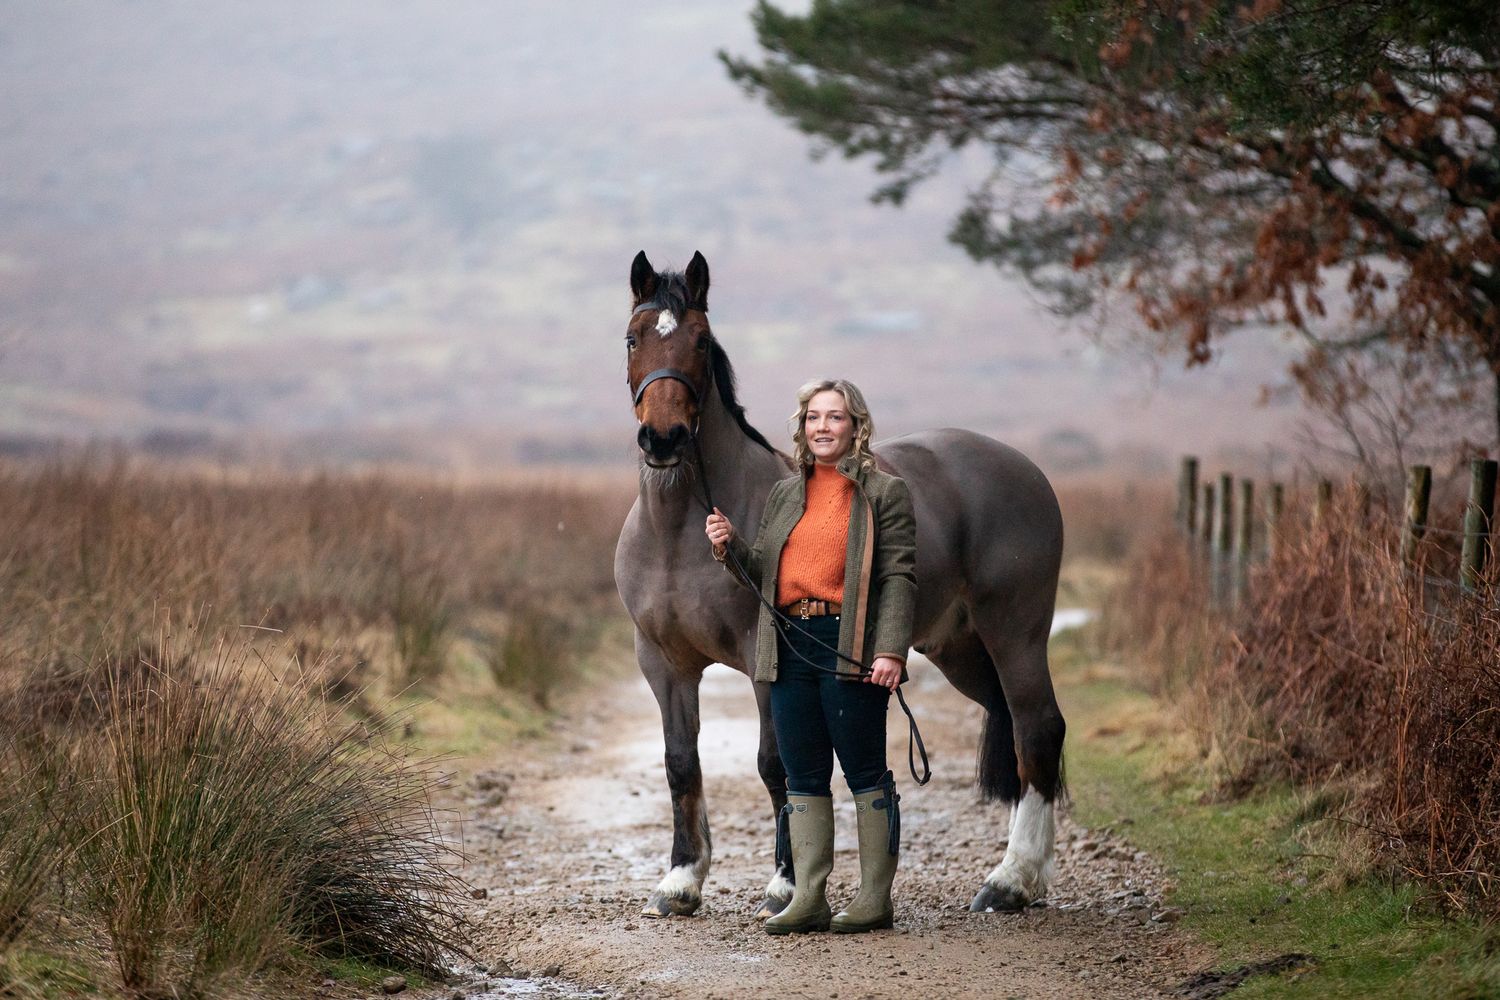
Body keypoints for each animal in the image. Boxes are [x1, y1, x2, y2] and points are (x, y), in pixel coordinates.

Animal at [614, 250, 1066, 919]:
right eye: (633, 337)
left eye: (699, 340)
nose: (663, 438)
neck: (678, 532)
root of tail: (1028, 470)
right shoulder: (663, 664)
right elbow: (680, 764)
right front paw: (681, 881)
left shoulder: (766, 658)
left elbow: (776, 763)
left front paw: (783, 885)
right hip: (960, 648)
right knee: (1012, 724)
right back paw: (1022, 874)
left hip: (1016, 633)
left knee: (1038, 727)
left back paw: (1010, 880)